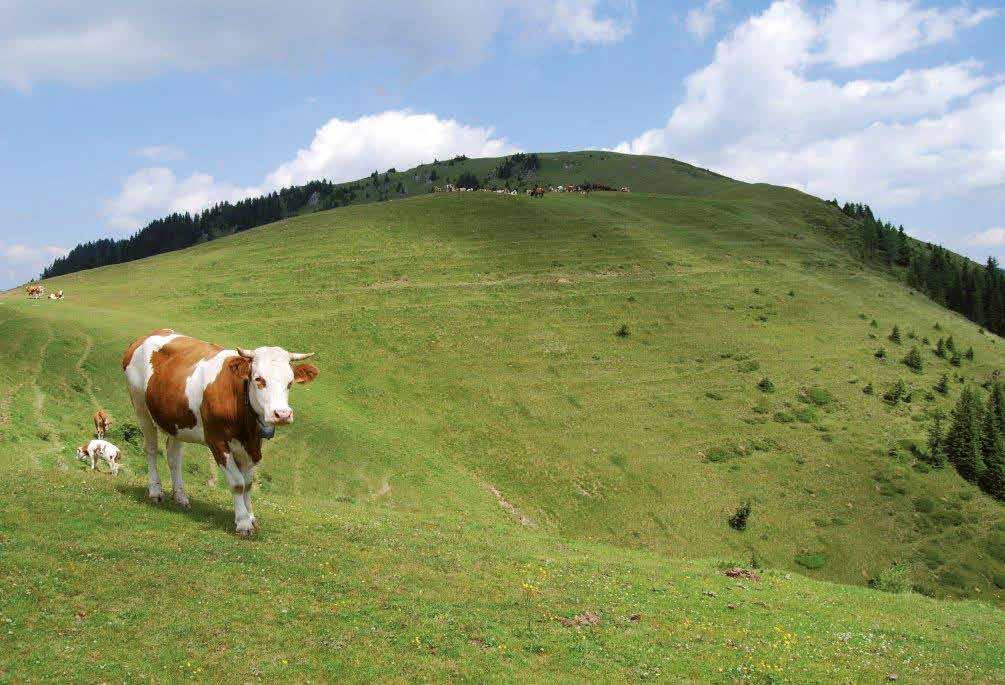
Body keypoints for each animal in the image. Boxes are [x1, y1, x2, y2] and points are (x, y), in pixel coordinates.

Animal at [122, 327, 317, 534]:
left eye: (290, 382)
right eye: (259, 379)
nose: (282, 414)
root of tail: (151, 334)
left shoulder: (252, 445)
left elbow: (248, 484)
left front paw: (251, 517)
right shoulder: (217, 441)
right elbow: (238, 483)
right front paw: (243, 523)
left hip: (177, 420)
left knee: (174, 457)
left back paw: (181, 497)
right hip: (141, 407)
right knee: (151, 449)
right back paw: (155, 491)